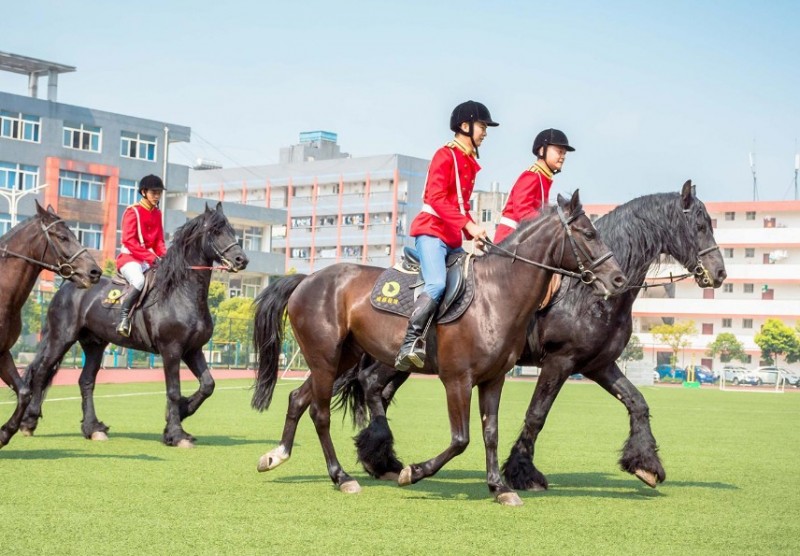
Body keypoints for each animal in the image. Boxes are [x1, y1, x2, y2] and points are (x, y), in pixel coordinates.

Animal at [17, 203, 248, 448]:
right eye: (215, 231)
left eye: (232, 230)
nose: (241, 260)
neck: (181, 293)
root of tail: (67, 286)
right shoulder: (172, 350)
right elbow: (173, 391)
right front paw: (176, 434)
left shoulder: (193, 350)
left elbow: (208, 385)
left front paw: (183, 411)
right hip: (61, 338)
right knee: (42, 372)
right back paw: (29, 422)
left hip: (94, 344)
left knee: (86, 381)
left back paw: (93, 428)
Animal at [253, 192, 628, 508]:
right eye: (589, 234)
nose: (619, 279)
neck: (496, 294)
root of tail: (306, 279)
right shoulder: (457, 380)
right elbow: (461, 439)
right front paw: (413, 472)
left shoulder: (494, 380)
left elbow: (490, 434)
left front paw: (500, 487)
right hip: (326, 359)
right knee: (321, 413)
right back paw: (342, 476)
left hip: (338, 359)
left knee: (298, 399)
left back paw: (277, 456)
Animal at [290, 181, 728, 486]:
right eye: (700, 225)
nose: (720, 273)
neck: (586, 292)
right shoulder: (561, 360)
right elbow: (536, 416)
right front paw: (522, 472)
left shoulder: (598, 364)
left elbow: (637, 402)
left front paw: (646, 465)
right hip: (395, 358)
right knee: (370, 385)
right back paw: (379, 456)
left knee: (368, 389)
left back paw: (378, 457)